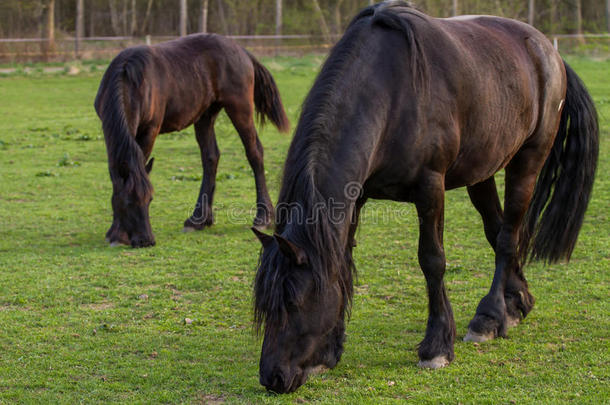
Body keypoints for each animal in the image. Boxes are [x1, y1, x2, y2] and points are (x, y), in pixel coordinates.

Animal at [92, 33, 288, 246]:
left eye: (149, 199)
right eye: (128, 202)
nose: (147, 240)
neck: (130, 82)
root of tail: (241, 51)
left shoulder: (150, 130)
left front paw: (117, 233)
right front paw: (115, 231)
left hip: (239, 107)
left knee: (254, 153)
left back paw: (263, 217)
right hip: (205, 115)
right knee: (211, 157)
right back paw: (198, 220)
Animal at [249, 0, 596, 392]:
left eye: (293, 301)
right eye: (264, 304)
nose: (272, 377)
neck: (388, 93)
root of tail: (547, 50)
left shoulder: (430, 188)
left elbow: (432, 260)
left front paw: (437, 346)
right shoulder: (356, 196)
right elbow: (342, 264)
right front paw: (328, 352)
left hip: (527, 161)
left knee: (509, 237)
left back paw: (490, 317)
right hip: (482, 172)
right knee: (498, 232)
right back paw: (517, 301)